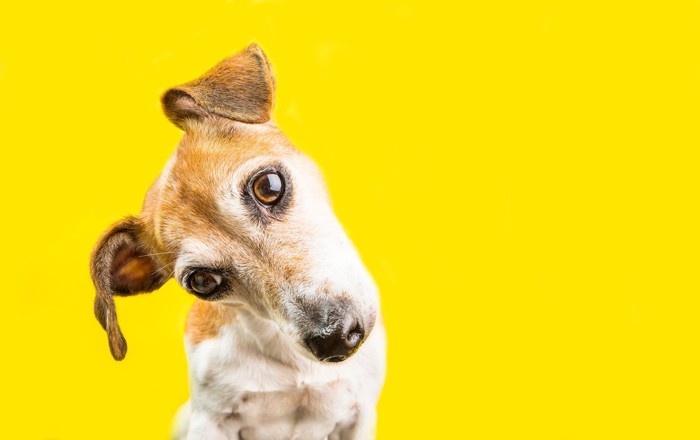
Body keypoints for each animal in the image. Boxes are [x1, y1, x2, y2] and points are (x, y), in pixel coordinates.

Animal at [89, 44, 386, 440]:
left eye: (269, 186)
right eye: (203, 281)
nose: (334, 337)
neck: (292, 365)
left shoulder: (359, 415)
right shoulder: (209, 421)